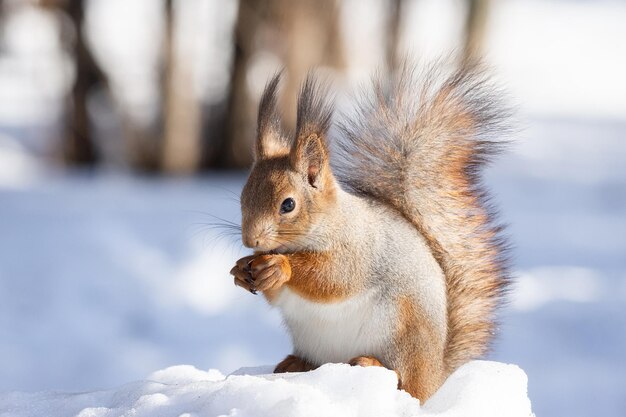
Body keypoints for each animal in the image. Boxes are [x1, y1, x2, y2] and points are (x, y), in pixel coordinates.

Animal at [228, 63, 508, 402]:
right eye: (243, 198)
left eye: (288, 205)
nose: (250, 240)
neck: (328, 222)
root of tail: (436, 375)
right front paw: (241, 269)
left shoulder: (358, 250)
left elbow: (333, 278)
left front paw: (280, 267)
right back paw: (296, 363)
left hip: (405, 334)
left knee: (405, 382)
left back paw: (371, 364)